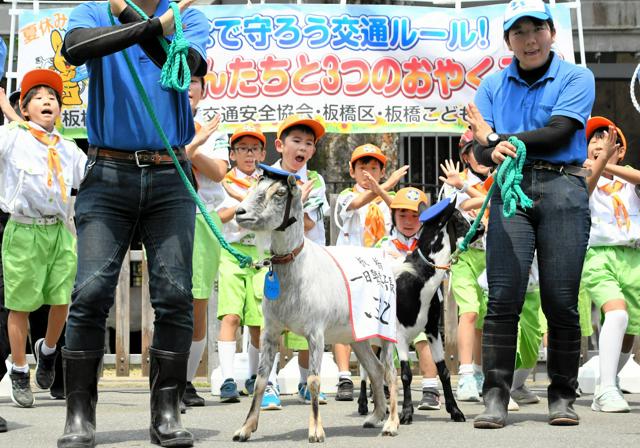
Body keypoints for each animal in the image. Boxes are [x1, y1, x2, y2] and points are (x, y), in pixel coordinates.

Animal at [230, 171, 400, 440]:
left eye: (279, 193)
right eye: (255, 186)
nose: (240, 212)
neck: (299, 266)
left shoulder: (316, 332)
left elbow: (313, 380)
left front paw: (316, 431)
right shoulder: (271, 329)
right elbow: (260, 379)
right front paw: (245, 429)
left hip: (386, 328)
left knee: (390, 373)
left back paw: (391, 424)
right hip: (356, 334)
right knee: (375, 369)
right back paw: (375, 417)